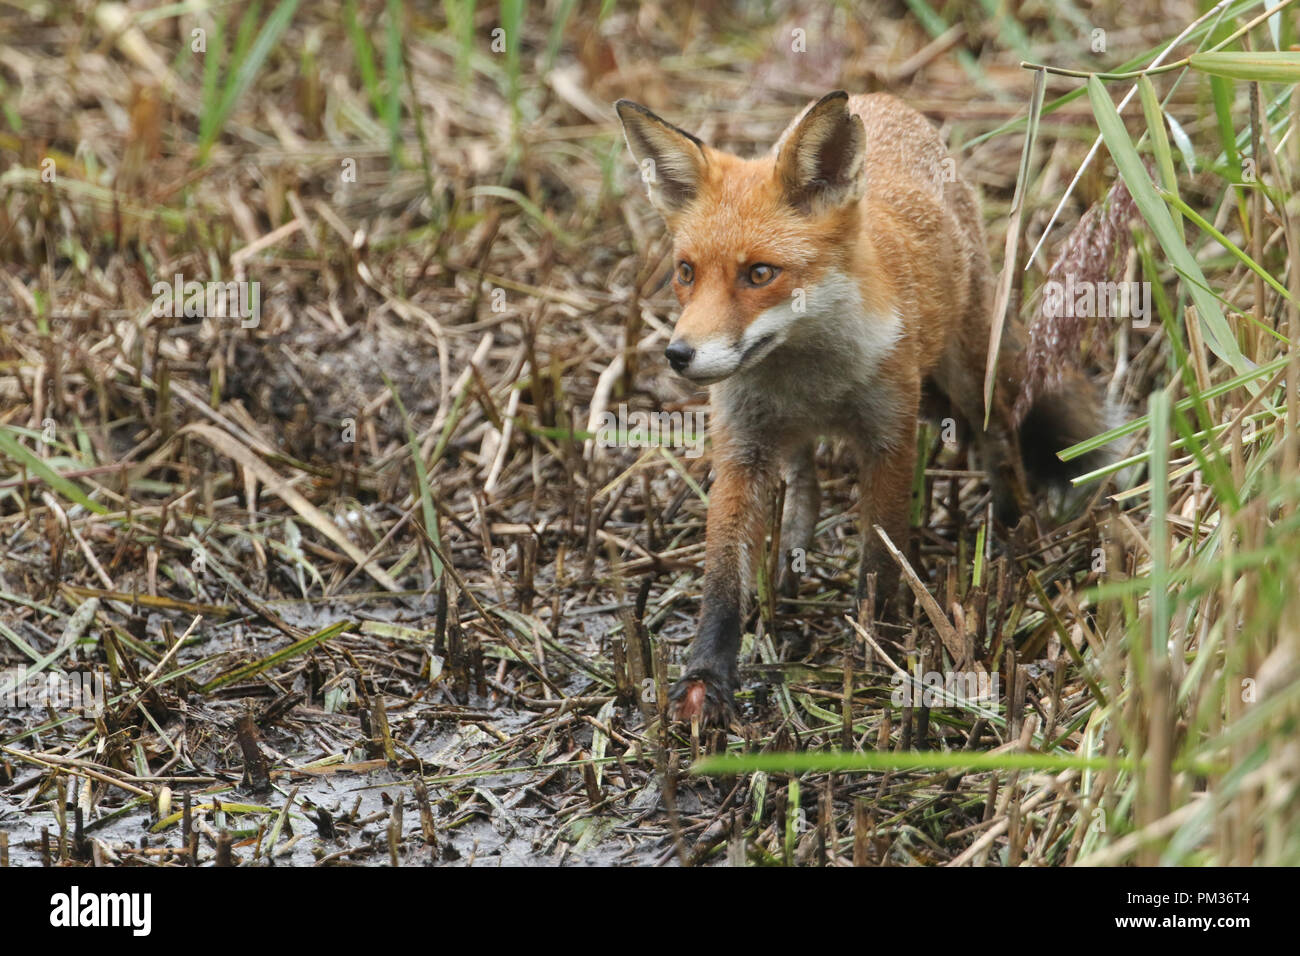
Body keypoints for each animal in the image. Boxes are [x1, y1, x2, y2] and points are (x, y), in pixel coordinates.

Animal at [615, 91, 1111, 724]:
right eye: (686, 273)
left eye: (759, 273)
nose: (679, 355)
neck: (810, 381)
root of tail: (884, 100)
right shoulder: (743, 447)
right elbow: (723, 577)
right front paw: (705, 680)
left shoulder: (888, 438)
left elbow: (879, 558)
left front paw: (871, 648)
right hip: (791, 440)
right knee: (804, 488)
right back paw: (789, 563)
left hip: (968, 374)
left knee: (999, 437)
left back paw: (1007, 529)